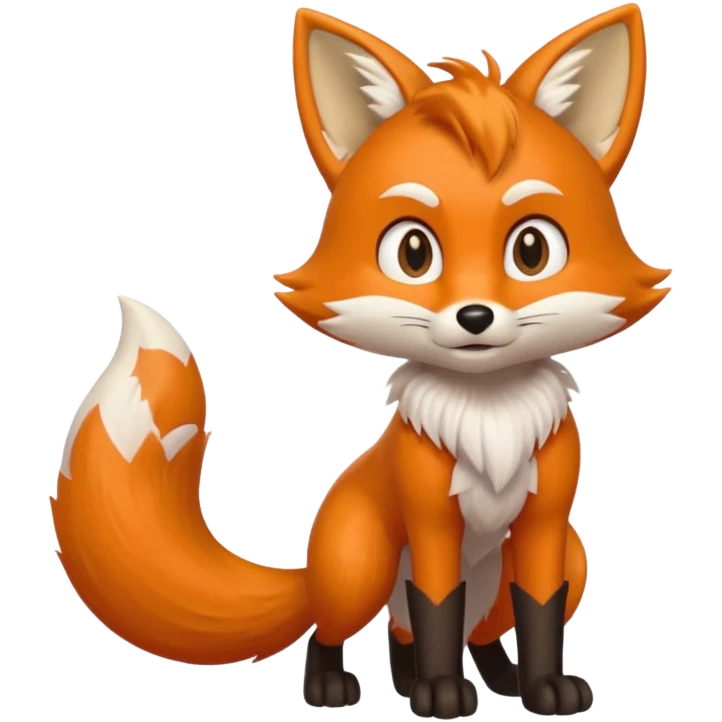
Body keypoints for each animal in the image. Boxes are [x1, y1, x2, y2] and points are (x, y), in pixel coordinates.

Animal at [50, 4, 669, 719]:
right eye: (413, 253)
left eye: (532, 250)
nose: (476, 317)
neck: (489, 422)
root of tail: (312, 570)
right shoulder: (430, 524)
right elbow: (437, 605)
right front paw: (440, 694)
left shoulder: (545, 524)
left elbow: (538, 610)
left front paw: (544, 688)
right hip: (362, 564)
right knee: (353, 627)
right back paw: (346, 686)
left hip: (570, 555)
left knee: (464, 631)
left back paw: (488, 679)